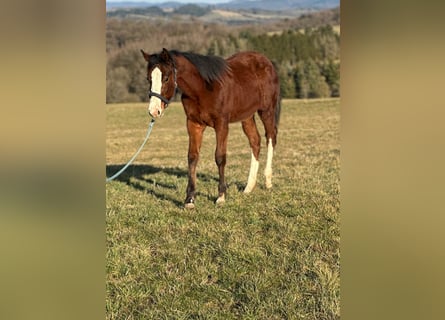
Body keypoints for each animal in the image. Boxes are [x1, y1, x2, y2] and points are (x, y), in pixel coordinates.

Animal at [140, 46, 280, 209]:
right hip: (247, 116)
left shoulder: (221, 124)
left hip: (266, 110)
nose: (154, 111)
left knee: (270, 137)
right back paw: (249, 187)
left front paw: (221, 196)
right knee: (255, 141)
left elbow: (220, 157)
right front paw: (190, 199)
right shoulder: (194, 124)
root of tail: (266, 62)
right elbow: (192, 157)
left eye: (166, 78)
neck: (203, 89)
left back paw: (268, 181)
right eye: (148, 79)